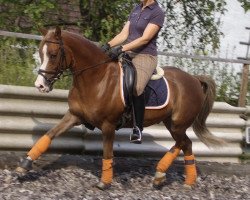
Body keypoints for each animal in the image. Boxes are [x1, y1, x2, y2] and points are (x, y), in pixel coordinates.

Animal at [16, 26, 225, 189]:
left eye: (52, 55)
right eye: (40, 54)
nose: (40, 85)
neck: (96, 78)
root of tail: (194, 79)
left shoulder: (108, 125)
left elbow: (107, 152)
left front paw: (105, 182)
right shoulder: (73, 115)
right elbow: (48, 136)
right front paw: (24, 165)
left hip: (178, 124)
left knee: (184, 143)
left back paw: (175, 178)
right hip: (171, 123)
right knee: (184, 144)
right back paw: (168, 178)